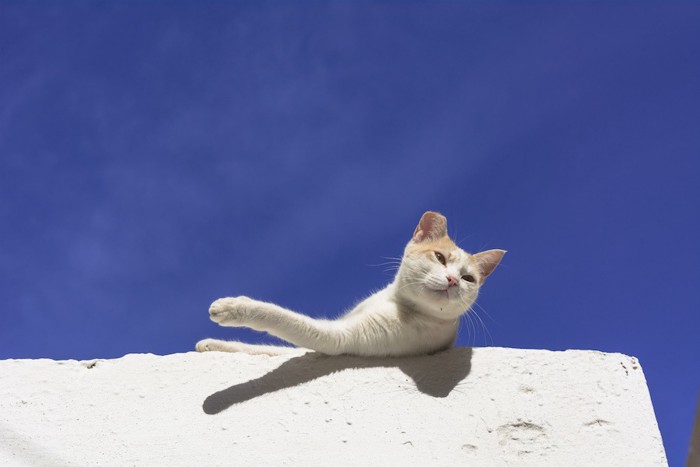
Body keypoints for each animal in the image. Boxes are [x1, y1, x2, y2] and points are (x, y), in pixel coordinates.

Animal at [196, 212, 504, 358]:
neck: (396, 301)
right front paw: (211, 345)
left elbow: (280, 319)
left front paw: (231, 307)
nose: (452, 280)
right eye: (439, 257)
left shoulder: (338, 337)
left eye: (468, 279)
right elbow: (269, 349)